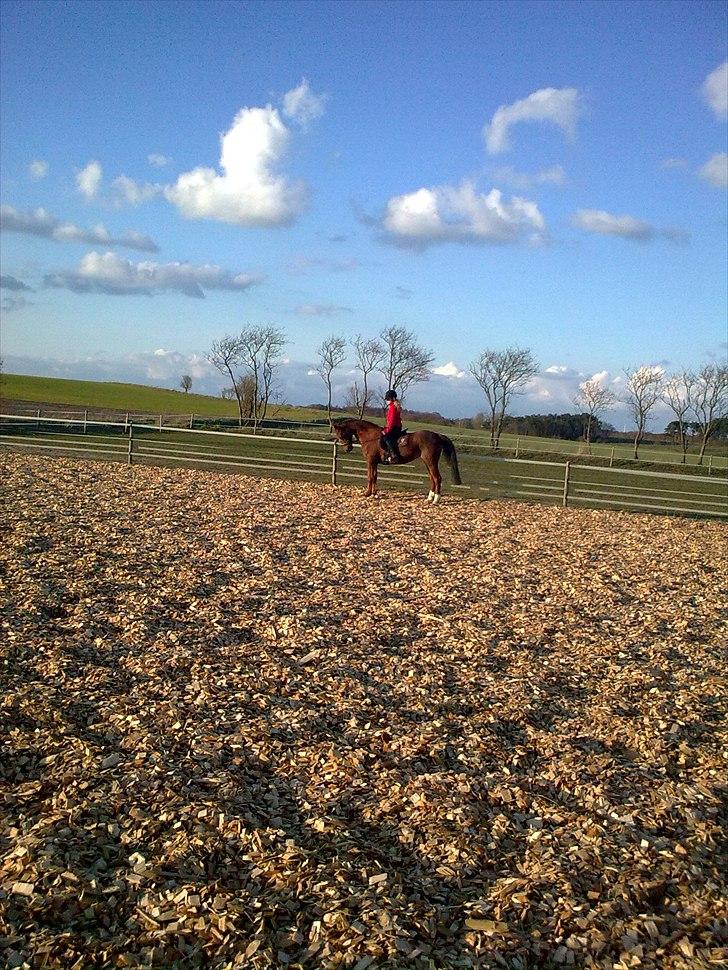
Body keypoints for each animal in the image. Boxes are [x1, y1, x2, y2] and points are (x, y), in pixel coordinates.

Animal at [332, 418, 460, 502]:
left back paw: (436, 500)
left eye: (341, 434)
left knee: (437, 478)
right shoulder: (375, 462)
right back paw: (429, 498)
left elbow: (370, 477)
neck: (370, 437)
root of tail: (437, 435)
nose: (348, 448)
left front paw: (367, 493)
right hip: (427, 462)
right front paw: (374, 494)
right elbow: (375, 476)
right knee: (432, 478)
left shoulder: (370, 461)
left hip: (431, 461)